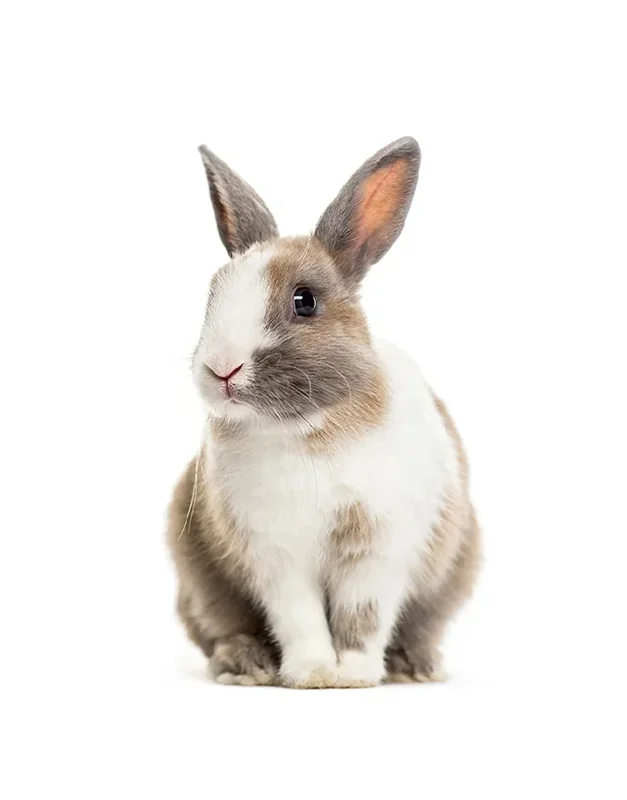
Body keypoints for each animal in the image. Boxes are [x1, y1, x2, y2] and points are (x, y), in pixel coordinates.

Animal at [167, 138, 480, 688]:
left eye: (305, 301)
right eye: (212, 295)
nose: (221, 368)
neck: (305, 431)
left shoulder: (378, 549)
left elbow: (363, 617)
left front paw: (352, 675)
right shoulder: (275, 556)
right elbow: (300, 618)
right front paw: (312, 673)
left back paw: (417, 666)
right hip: (199, 582)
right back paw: (245, 665)